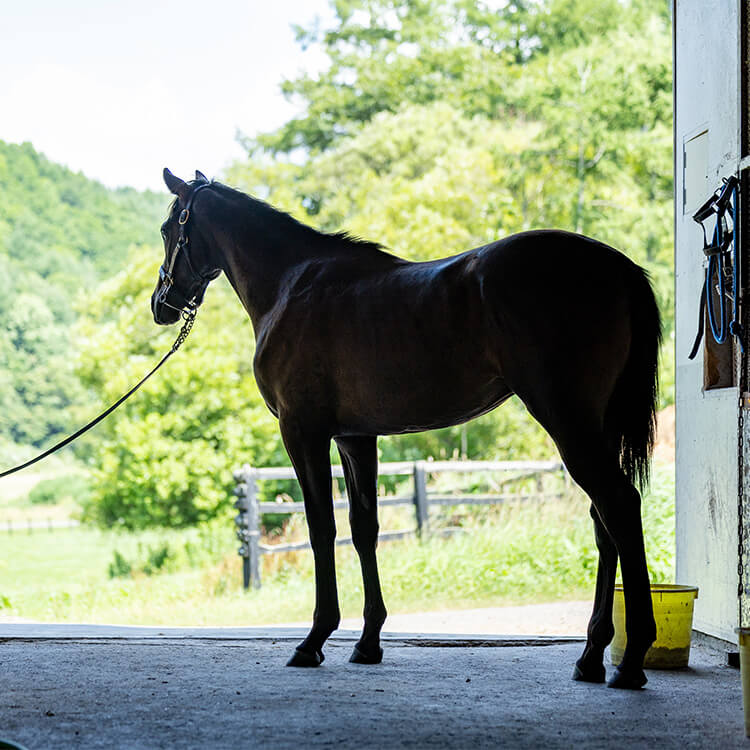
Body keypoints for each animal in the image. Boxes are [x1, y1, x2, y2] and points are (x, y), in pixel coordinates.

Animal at [154, 170, 664, 692]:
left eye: (168, 230)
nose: (162, 305)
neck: (291, 286)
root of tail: (619, 267)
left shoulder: (303, 432)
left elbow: (321, 529)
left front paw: (314, 639)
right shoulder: (355, 438)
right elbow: (364, 530)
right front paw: (367, 642)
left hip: (568, 422)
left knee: (620, 507)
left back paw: (631, 659)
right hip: (595, 427)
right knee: (604, 522)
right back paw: (591, 655)